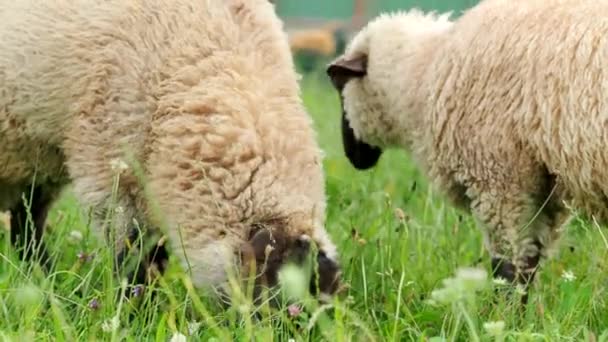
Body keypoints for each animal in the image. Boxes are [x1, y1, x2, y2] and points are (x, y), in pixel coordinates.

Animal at [326, 0, 608, 300]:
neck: (424, 73)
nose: (353, 158)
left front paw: (504, 311)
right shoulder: (544, 189)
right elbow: (529, 264)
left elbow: (508, 267)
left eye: (340, 86)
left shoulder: (498, 180)